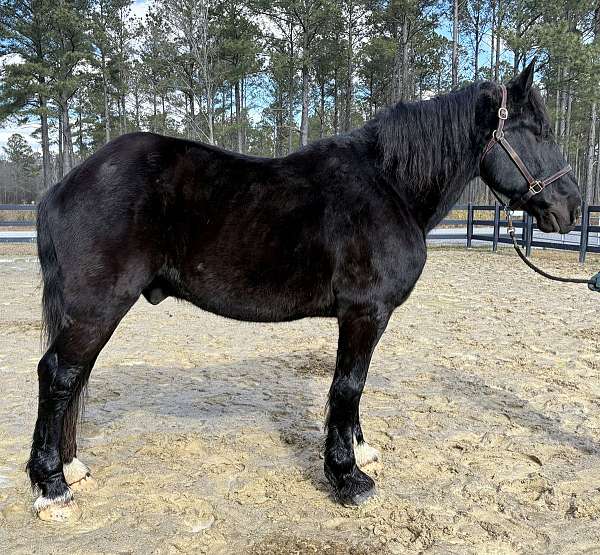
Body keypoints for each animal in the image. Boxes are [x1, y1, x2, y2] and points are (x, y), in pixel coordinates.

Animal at [28, 62, 580, 520]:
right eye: (537, 131)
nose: (571, 207)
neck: (390, 185)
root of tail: (61, 186)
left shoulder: (365, 317)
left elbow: (353, 389)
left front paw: (360, 451)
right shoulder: (364, 312)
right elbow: (348, 386)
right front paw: (348, 478)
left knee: (74, 378)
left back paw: (70, 467)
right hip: (98, 308)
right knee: (59, 376)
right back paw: (52, 487)